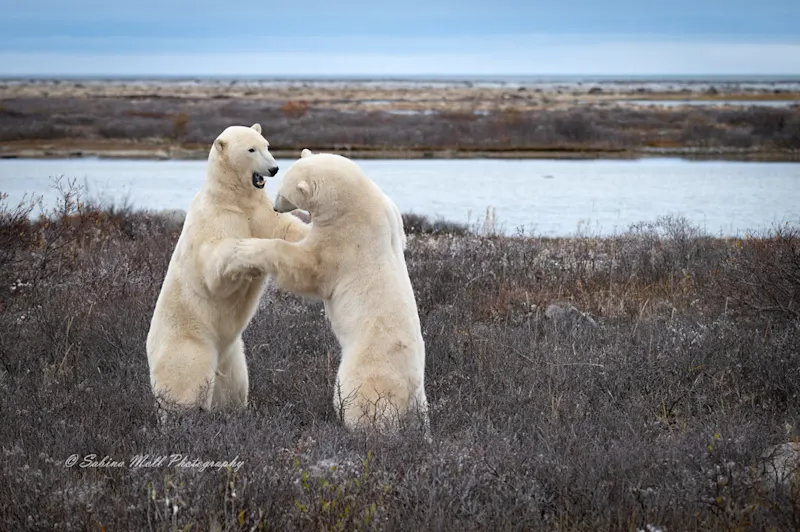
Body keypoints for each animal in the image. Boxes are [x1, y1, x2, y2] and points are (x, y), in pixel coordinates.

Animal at [146, 123, 309, 413]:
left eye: (267, 145)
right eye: (251, 149)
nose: (274, 168)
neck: (232, 197)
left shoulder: (259, 210)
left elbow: (286, 228)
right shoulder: (218, 218)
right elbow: (216, 267)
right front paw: (246, 254)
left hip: (232, 356)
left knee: (234, 386)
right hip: (189, 346)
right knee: (185, 387)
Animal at [223, 149, 428, 433]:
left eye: (284, 193)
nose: (275, 207)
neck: (355, 198)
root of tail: (411, 394)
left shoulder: (345, 236)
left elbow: (309, 267)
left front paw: (246, 249)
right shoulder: (392, 215)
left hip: (368, 370)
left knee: (360, 399)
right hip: (420, 401)